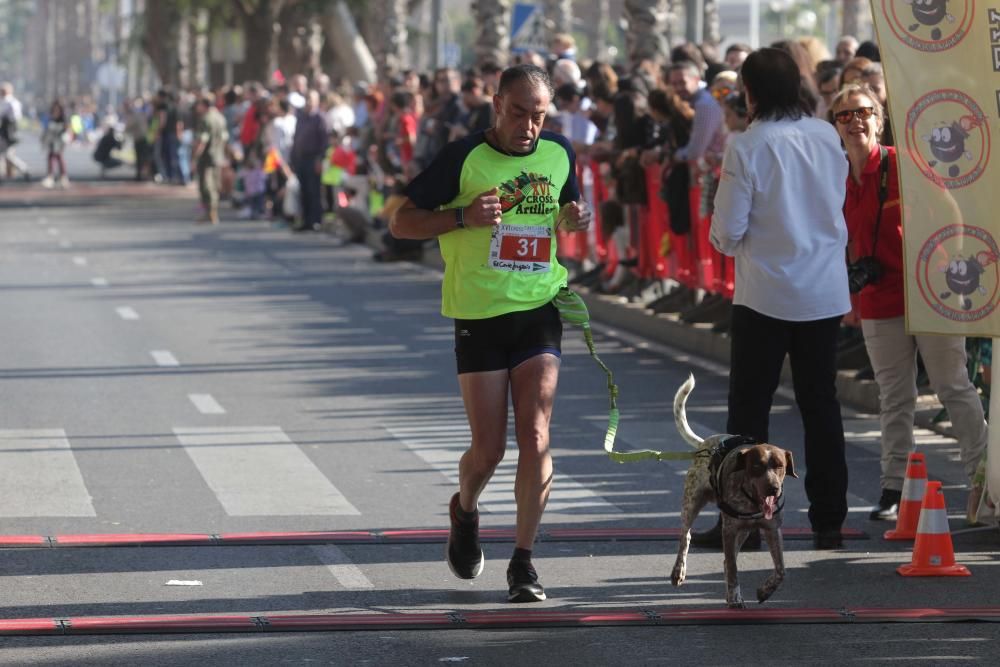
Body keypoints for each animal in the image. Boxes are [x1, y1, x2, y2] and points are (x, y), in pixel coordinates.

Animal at [668, 376, 800, 612]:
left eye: (780, 466)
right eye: (756, 466)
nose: (773, 488)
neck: (753, 502)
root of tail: (706, 443)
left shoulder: (772, 530)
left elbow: (781, 570)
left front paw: (765, 591)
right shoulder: (729, 531)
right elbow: (732, 567)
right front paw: (735, 597)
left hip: (744, 530)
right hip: (692, 503)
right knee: (686, 537)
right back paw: (678, 571)